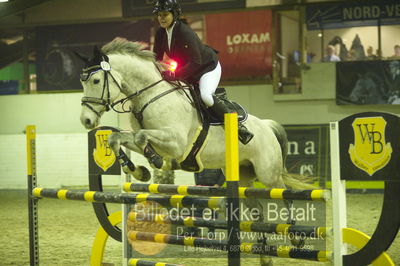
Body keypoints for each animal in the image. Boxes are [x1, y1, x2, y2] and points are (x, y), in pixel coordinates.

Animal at [79, 38, 312, 266]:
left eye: (96, 81)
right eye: (82, 82)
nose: (86, 120)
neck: (150, 95)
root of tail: (267, 125)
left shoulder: (176, 142)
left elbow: (141, 137)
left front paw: (154, 161)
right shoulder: (151, 138)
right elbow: (116, 138)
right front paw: (138, 171)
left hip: (268, 174)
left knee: (285, 195)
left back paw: (295, 237)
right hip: (244, 176)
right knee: (257, 211)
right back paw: (264, 255)